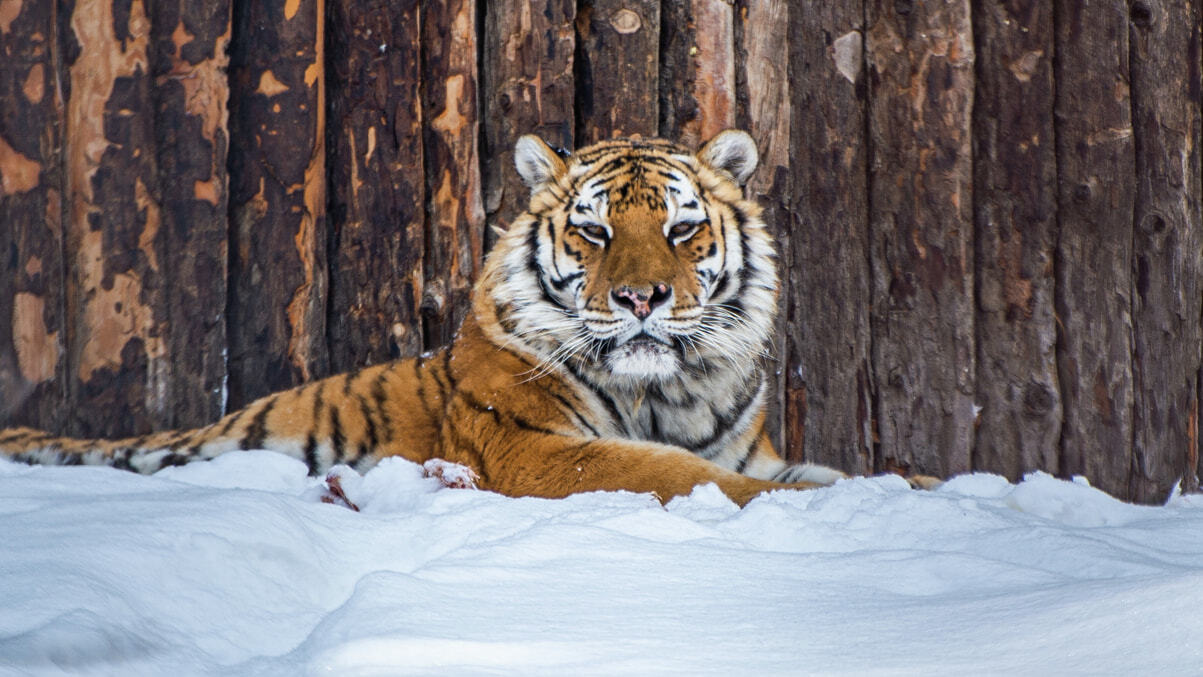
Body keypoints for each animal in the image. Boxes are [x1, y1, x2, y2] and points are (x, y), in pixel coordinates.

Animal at [0, 129, 851, 505]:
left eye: (680, 230)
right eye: (594, 231)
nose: (641, 298)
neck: (664, 393)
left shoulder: (752, 449)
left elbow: (812, 471)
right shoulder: (529, 447)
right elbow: (673, 472)